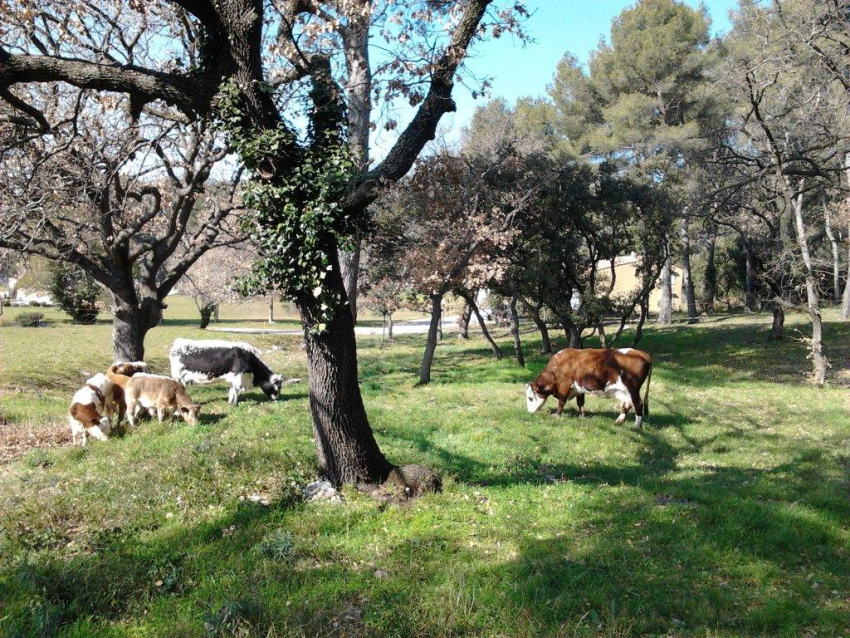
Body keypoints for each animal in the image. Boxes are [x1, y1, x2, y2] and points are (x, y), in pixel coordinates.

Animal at [520, 350, 652, 430]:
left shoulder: (564, 386)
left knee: (638, 404)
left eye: (530, 398)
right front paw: (582, 416)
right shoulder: (579, 389)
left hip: (633, 389)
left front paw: (557, 415)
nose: (529, 412)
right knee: (627, 404)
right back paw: (619, 421)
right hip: (624, 392)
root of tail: (642, 353)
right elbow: (580, 403)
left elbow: (561, 402)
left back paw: (637, 426)